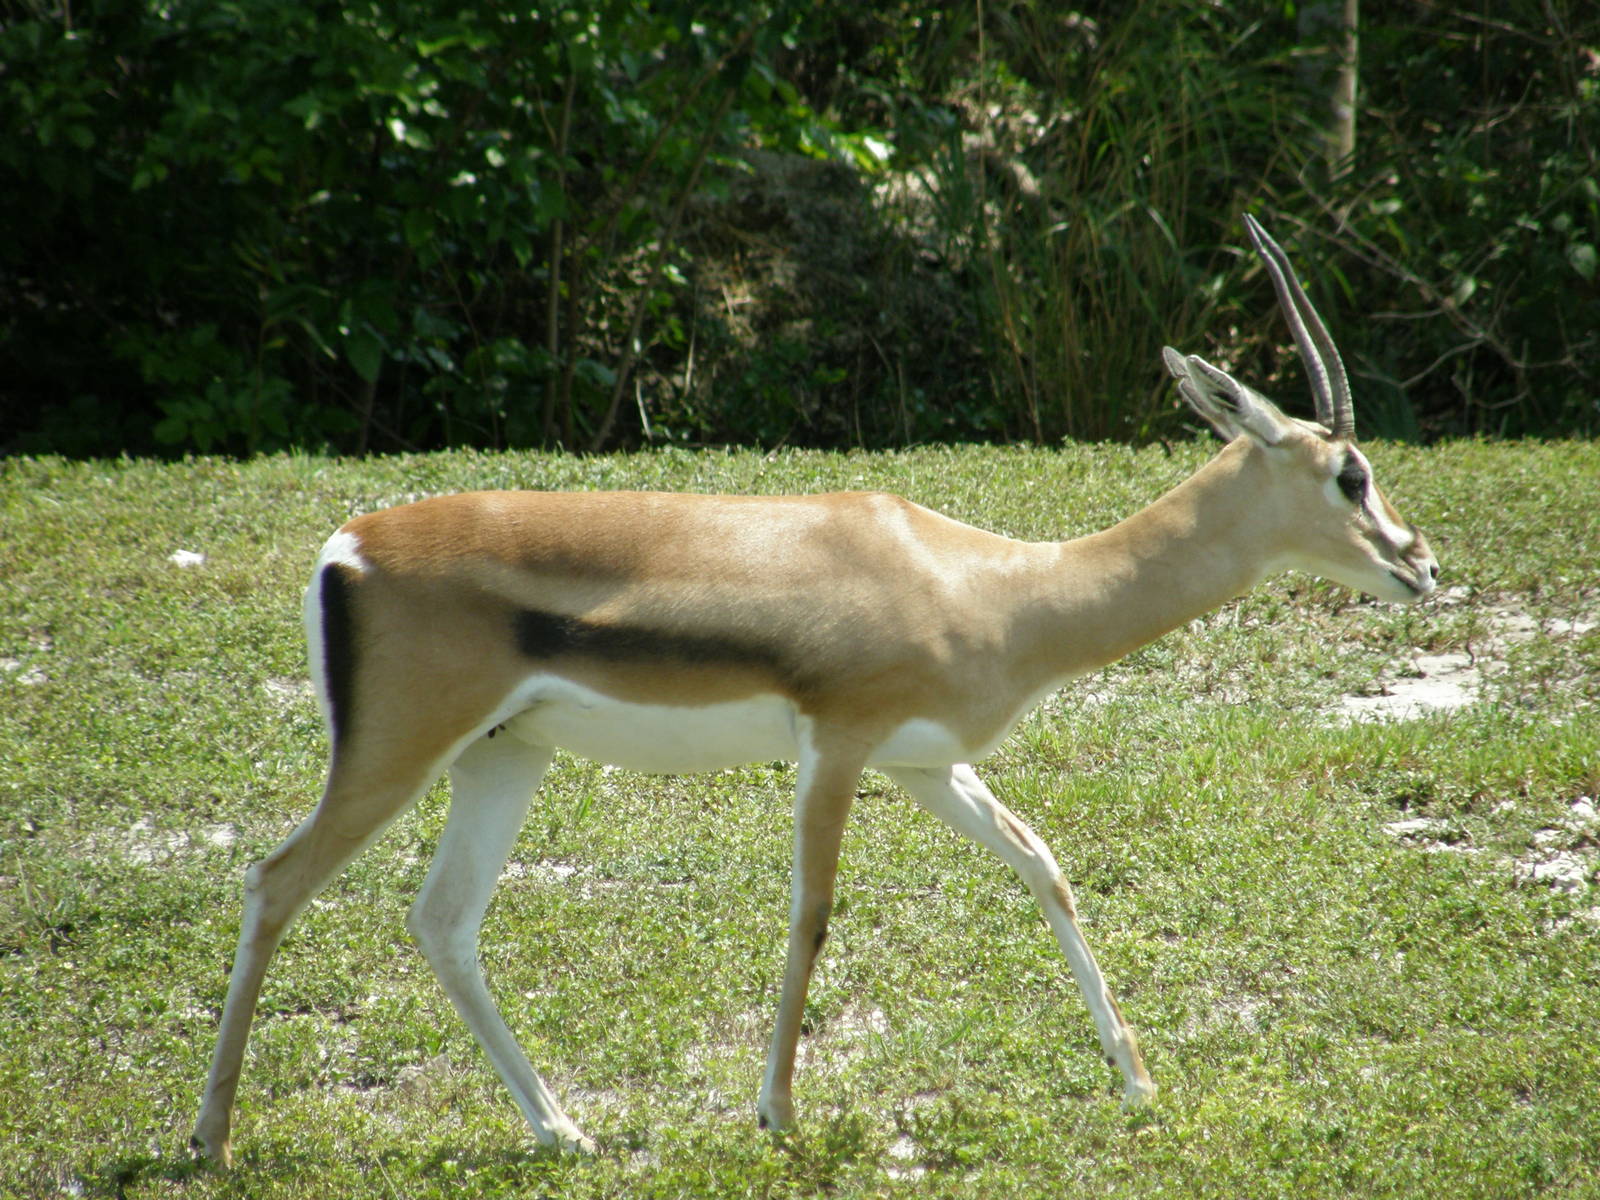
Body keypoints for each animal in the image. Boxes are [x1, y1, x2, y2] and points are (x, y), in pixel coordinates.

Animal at [192, 215, 1438, 1166]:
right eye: (1349, 471)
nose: (1418, 562)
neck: (999, 584)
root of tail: (348, 546)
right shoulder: (835, 747)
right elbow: (813, 912)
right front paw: (777, 1112)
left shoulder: (926, 763)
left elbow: (1044, 866)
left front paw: (1133, 1082)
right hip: (397, 753)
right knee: (274, 881)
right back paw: (210, 1141)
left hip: (505, 754)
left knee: (443, 919)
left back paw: (562, 1132)